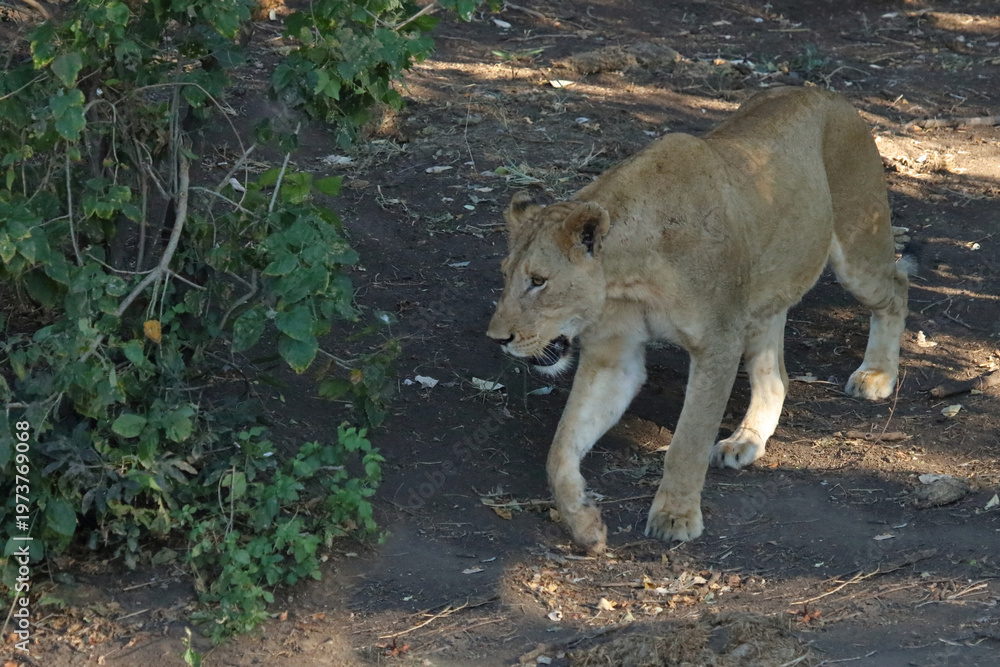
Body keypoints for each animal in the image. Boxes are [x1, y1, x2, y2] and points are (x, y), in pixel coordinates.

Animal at [486, 87, 913, 554]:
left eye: (538, 281)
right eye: (505, 275)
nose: (497, 338)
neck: (627, 272)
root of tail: (825, 92)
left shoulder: (718, 342)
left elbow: (687, 441)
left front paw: (675, 516)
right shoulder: (613, 357)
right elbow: (561, 445)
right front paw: (583, 522)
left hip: (858, 248)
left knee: (897, 288)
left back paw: (877, 374)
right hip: (763, 294)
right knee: (777, 377)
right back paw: (745, 440)